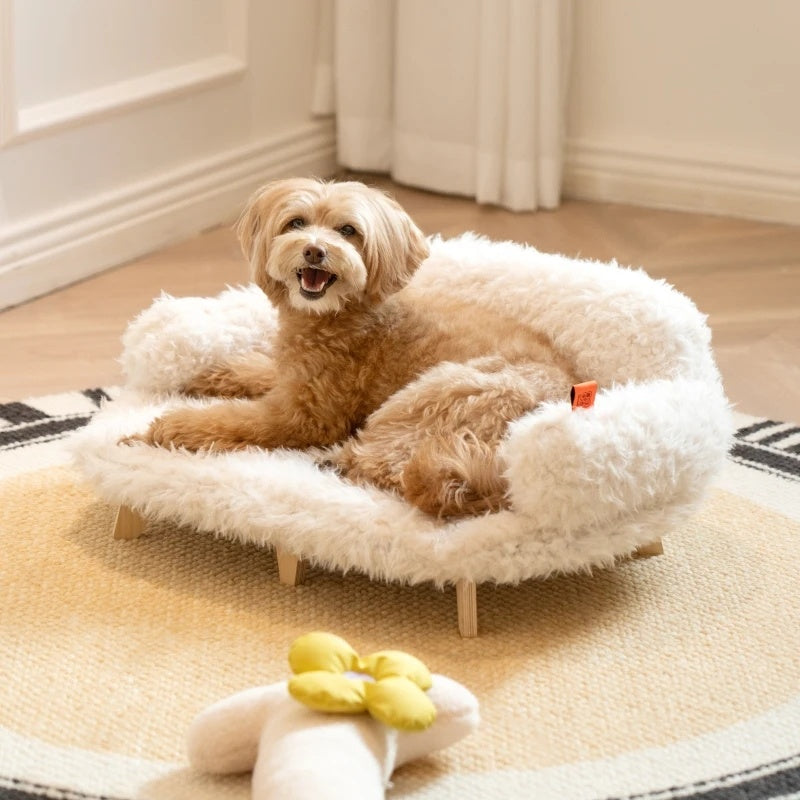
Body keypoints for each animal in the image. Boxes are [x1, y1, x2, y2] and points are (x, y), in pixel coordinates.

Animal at [128, 178, 572, 520]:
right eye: (296, 222)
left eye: (348, 231)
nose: (314, 250)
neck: (341, 314)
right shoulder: (294, 375)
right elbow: (260, 369)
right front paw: (211, 374)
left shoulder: (302, 416)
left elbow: (232, 420)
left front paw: (171, 427)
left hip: (436, 393)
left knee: (390, 467)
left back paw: (337, 462)